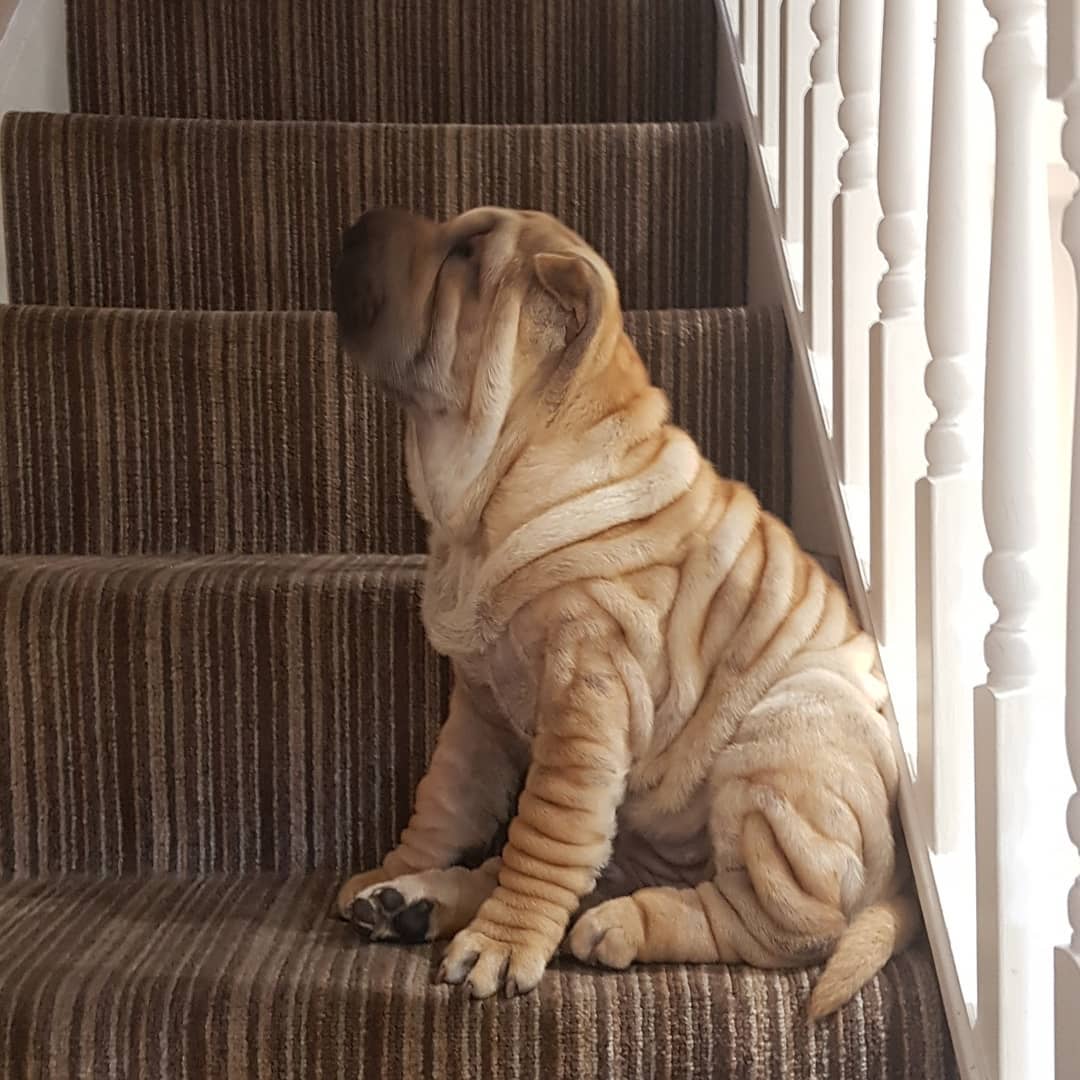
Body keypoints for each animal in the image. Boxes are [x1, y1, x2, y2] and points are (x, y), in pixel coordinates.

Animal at [332, 204, 915, 1019]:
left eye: (467, 253)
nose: (356, 224)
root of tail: (901, 880)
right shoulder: (478, 707)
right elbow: (446, 798)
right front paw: (399, 867)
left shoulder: (587, 689)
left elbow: (544, 826)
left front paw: (502, 944)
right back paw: (412, 901)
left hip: (786, 746)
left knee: (775, 926)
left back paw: (619, 925)